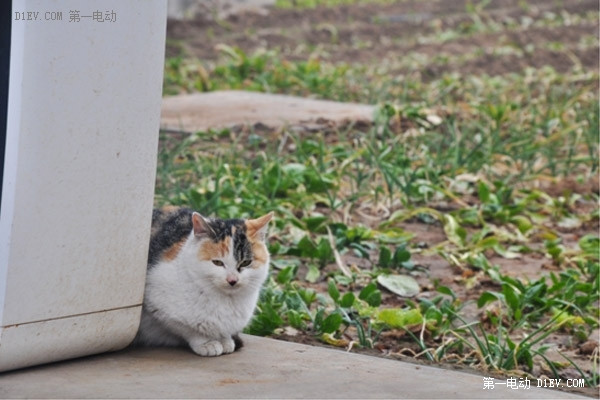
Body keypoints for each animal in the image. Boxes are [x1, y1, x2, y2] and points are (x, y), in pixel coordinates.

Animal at [135, 206, 274, 356]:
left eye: (245, 262)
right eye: (217, 262)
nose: (232, 280)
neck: (227, 301)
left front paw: (225, 340)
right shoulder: (158, 306)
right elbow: (190, 329)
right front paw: (207, 343)